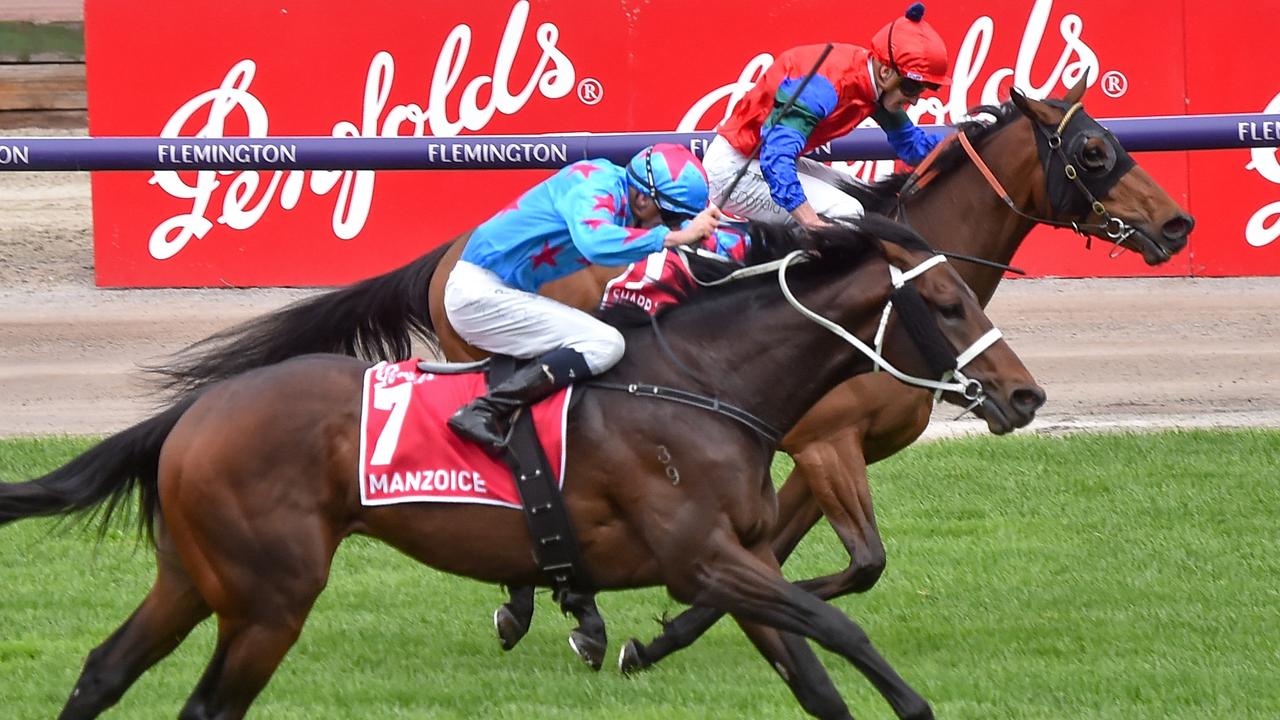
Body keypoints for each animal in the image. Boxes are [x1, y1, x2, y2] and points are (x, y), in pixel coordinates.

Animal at [2, 220, 1039, 717]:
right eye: (950, 303)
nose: (1025, 396)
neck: (701, 384)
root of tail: (192, 414)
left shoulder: (736, 563)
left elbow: (814, 676)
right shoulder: (702, 557)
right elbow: (838, 625)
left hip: (195, 575)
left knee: (101, 673)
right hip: (267, 598)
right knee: (207, 702)